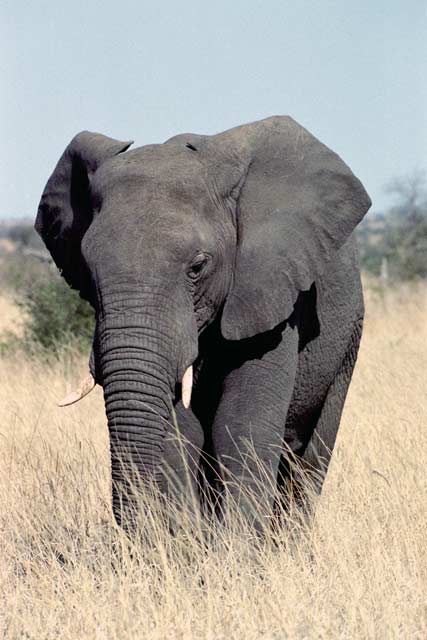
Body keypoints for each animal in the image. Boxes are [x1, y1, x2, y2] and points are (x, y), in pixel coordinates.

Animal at [35, 116, 371, 530]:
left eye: (197, 267)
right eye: (88, 269)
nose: (130, 536)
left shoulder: (269, 292)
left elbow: (239, 424)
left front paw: (236, 547)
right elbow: (184, 431)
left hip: (348, 338)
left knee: (310, 455)